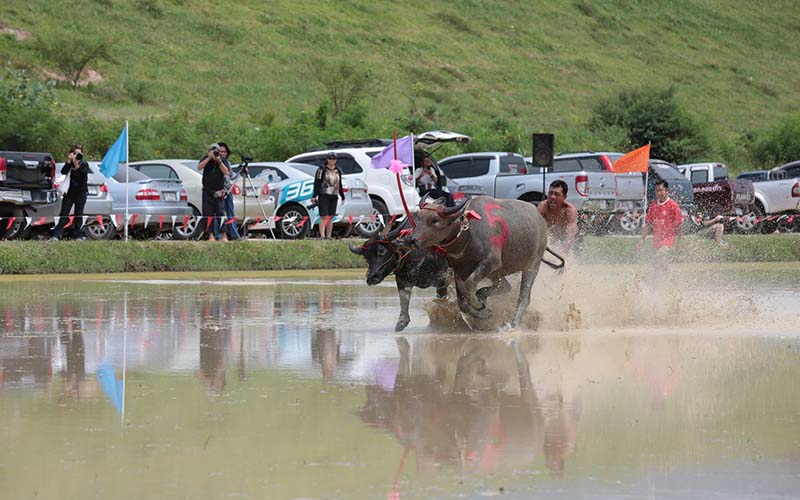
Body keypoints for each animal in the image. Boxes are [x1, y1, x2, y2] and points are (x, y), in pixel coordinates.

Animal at [404, 195, 560, 328]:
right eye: (419, 217)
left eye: (435, 220)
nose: (411, 240)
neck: (469, 234)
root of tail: (541, 221)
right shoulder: (459, 270)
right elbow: (462, 302)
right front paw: (483, 313)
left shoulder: (490, 262)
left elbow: (470, 286)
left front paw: (479, 305)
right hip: (497, 273)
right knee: (505, 286)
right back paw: (483, 296)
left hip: (532, 266)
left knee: (524, 297)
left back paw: (514, 323)